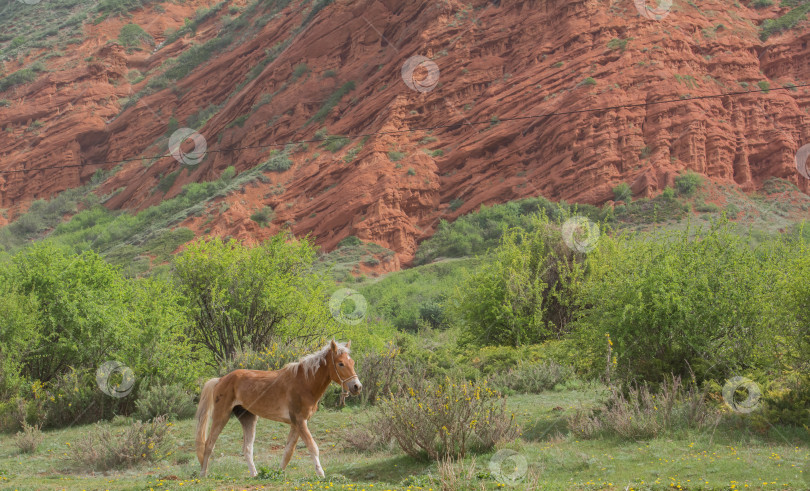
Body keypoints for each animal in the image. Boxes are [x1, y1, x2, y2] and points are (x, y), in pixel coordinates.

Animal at [194, 340, 362, 478]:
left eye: (352, 362)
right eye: (340, 363)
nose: (357, 387)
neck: (305, 382)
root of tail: (220, 380)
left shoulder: (297, 423)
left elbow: (288, 451)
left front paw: (278, 473)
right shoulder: (300, 421)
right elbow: (312, 447)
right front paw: (321, 474)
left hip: (248, 418)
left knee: (247, 448)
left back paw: (255, 474)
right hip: (221, 416)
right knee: (209, 444)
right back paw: (203, 474)